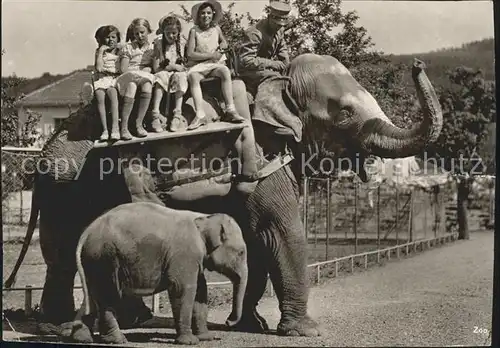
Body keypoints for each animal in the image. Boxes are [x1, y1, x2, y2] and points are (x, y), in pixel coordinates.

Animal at [71, 201, 248, 346]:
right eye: (241, 253)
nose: (228, 321)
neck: (205, 217)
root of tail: (85, 233)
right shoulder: (184, 255)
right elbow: (183, 289)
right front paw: (189, 342)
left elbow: (200, 292)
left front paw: (206, 338)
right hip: (104, 259)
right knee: (108, 296)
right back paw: (117, 340)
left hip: (93, 262)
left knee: (92, 297)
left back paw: (83, 338)